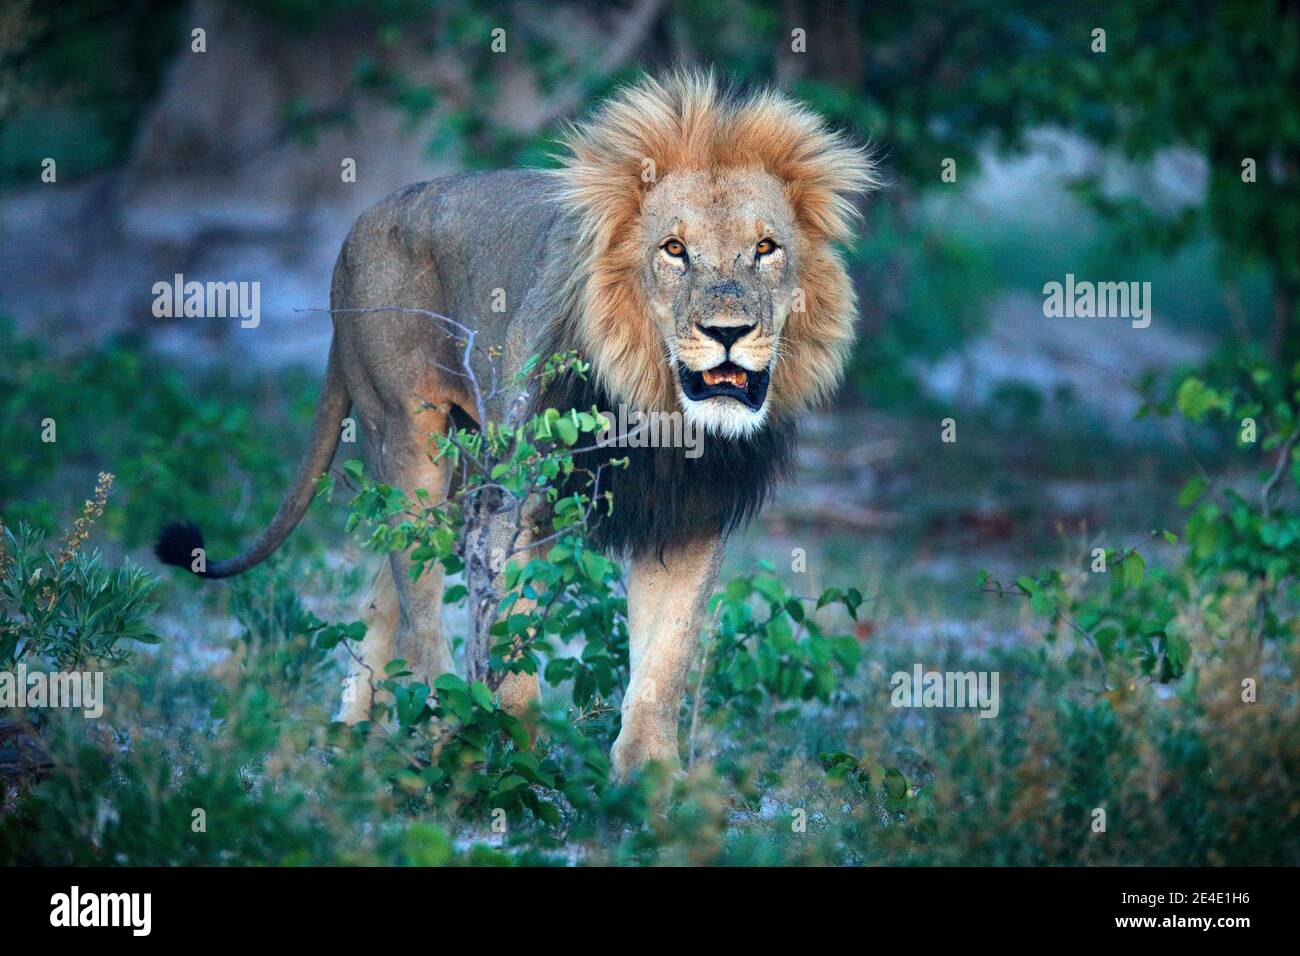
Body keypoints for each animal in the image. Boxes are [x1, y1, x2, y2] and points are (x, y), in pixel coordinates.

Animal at [157, 72, 878, 780]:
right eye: (675, 250)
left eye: (766, 249)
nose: (728, 331)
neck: (662, 410)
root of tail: (357, 226)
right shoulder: (515, 510)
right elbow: (513, 650)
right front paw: (515, 763)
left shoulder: (688, 519)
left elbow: (665, 659)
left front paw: (648, 782)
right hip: (412, 441)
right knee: (419, 607)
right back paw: (444, 738)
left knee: (383, 590)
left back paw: (351, 736)